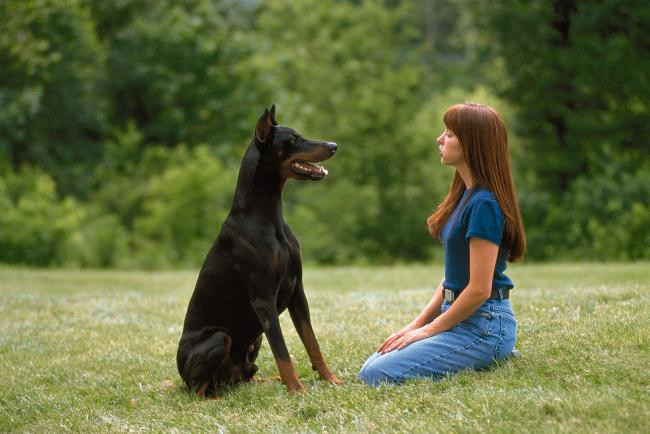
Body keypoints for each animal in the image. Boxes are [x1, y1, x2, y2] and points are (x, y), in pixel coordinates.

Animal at [175, 105, 342, 396]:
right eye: (293, 139)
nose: (333, 145)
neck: (268, 217)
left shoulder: (297, 291)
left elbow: (312, 342)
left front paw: (330, 379)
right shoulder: (263, 299)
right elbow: (283, 352)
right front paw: (298, 391)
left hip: (254, 343)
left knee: (244, 376)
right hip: (219, 338)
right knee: (197, 389)